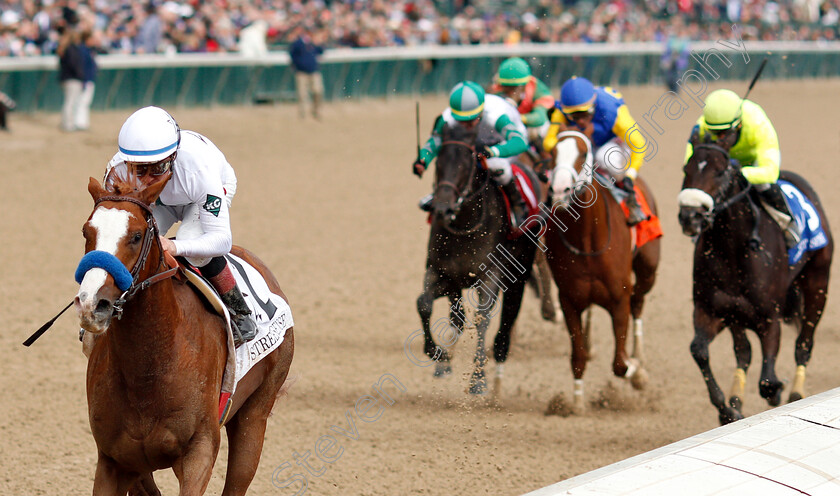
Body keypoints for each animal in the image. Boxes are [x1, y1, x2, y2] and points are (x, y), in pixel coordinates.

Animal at [74, 176, 296, 494]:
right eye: (86, 231)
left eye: (136, 236)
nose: (93, 304)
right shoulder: (114, 460)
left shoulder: (199, 450)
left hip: (256, 413)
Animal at [416, 123, 540, 396]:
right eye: (439, 160)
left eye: (466, 162)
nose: (442, 208)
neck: (464, 225)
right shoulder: (442, 273)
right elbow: (424, 304)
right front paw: (438, 355)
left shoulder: (489, 276)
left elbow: (482, 319)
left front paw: (479, 379)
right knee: (457, 316)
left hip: (519, 275)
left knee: (507, 318)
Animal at [540, 130, 660, 412]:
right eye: (552, 152)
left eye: (584, 153)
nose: (559, 190)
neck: (587, 241)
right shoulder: (569, 299)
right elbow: (578, 357)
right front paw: (576, 404)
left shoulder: (619, 298)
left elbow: (620, 364)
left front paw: (637, 372)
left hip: (648, 269)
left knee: (639, 303)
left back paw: (640, 356)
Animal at [676, 138, 832, 424]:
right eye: (686, 169)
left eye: (720, 172)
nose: (690, 216)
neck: (733, 251)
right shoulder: (711, 310)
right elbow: (699, 351)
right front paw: (727, 409)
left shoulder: (769, 318)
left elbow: (768, 380)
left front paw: (777, 390)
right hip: (736, 316)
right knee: (743, 352)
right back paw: (737, 398)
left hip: (818, 285)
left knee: (803, 345)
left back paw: (795, 392)